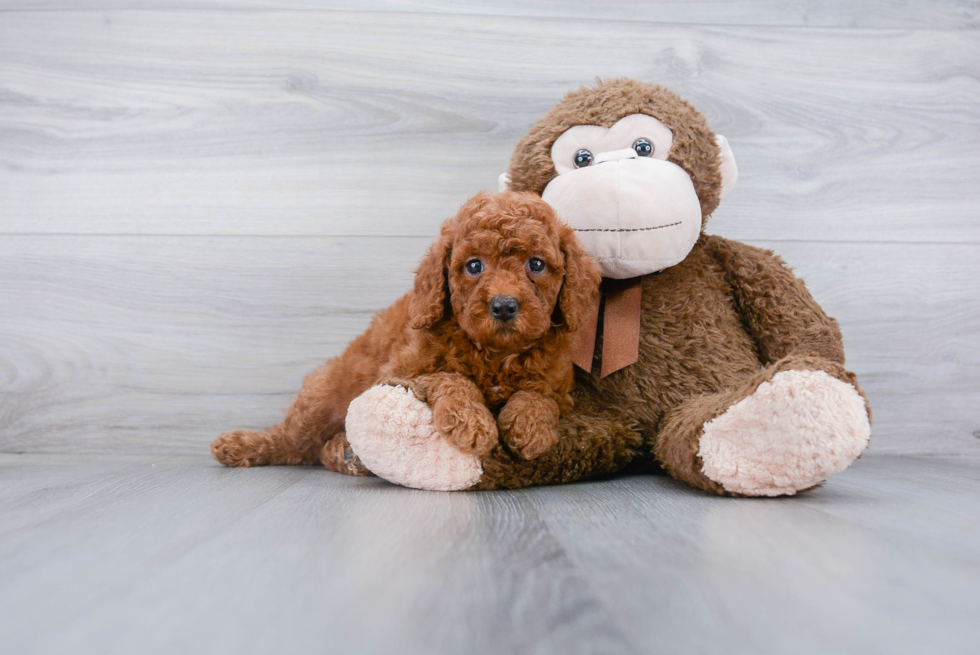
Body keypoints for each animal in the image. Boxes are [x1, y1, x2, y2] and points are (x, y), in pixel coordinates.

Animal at [211, 192, 600, 474]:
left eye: (536, 264)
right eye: (474, 266)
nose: (504, 306)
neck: (495, 354)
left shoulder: (558, 386)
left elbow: (539, 396)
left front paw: (529, 427)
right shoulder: (401, 372)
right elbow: (450, 377)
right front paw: (473, 424)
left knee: (318, 450)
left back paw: (346, 454)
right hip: (320, 397)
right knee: (293, 442)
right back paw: (239, 445)